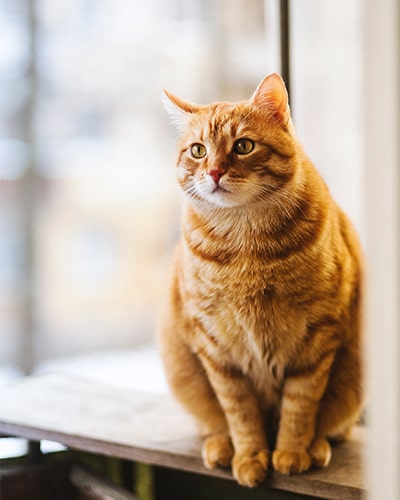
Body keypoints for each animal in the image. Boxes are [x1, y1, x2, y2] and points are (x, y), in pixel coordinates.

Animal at [158, 72, 364, 486]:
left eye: (243, 146)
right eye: (198, 151)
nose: (214, 172)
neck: (246, 245)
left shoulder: (319, 335)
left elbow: (300, 404)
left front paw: (291, 451)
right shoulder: (215, 347)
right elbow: (239, 411)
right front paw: (251, 456)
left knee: (336, 427)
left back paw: (317, 447)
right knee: (212, 423)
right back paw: (220, 447)